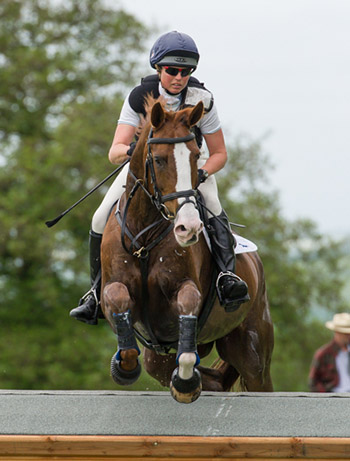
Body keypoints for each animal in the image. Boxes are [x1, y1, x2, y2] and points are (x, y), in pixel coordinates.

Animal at [100, 98, 274, 402]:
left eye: (195, 156)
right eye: (158, 159)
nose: (189, 227)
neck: (146, 235)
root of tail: (255, 260)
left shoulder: (184, 287)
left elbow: (189, 306)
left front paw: (184, 380)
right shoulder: (113, 288)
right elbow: (117, 298)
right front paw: (124, 367)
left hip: (251, 348)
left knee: (256, 376)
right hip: (159, 358)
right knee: (211, 380)